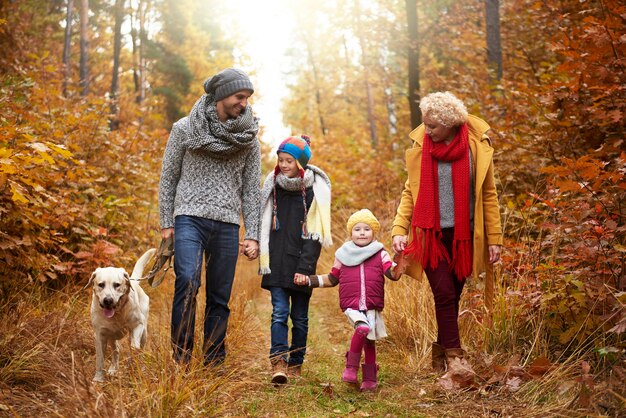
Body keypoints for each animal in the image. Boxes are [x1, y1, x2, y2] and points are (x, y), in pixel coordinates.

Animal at [88, 248, 155, 382]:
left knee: (140, 348)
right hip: (111, 336)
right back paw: (113, 369)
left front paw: (133, 366)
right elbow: (100, 359)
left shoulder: (137, 326)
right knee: (116, 351)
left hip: (144, 333)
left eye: (117, 285)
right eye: (101, 284)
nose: (108, 300)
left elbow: (134, 347)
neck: (117, 314)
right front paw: (98, 379)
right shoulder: (100, 334)